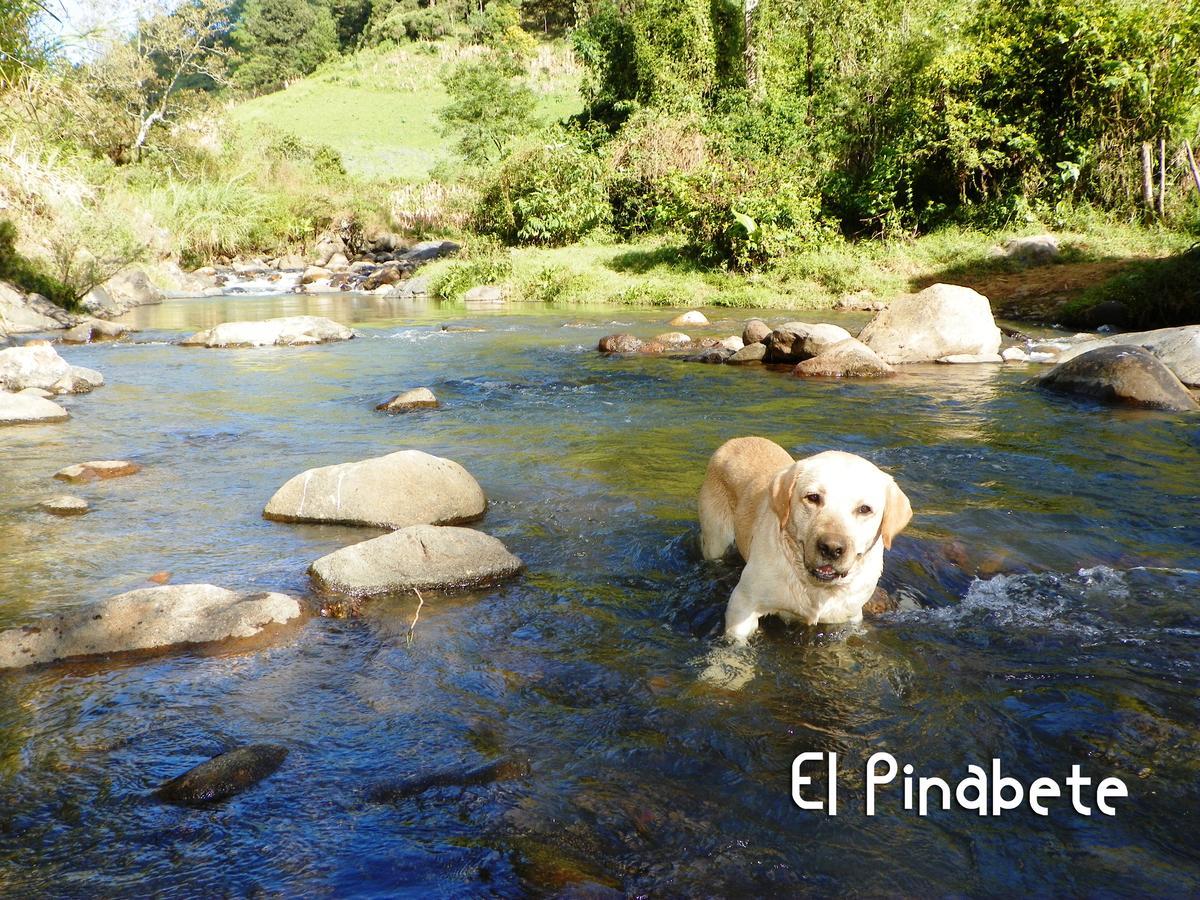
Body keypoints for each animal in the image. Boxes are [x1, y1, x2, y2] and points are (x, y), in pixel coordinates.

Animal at [696, 436, 907, 643]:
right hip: (715, 539)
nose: (831, 548)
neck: (815, 587)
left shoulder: (847, 618)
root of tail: (737, 440)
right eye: (813, 497)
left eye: (864, 509)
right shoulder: (742, 605)